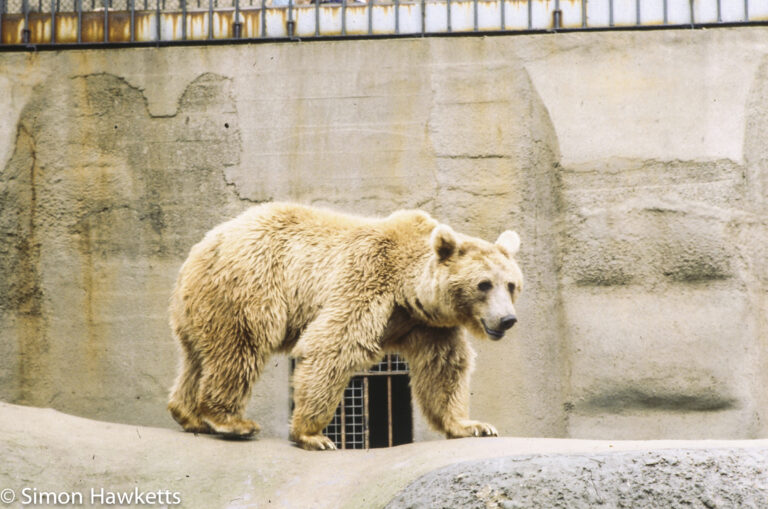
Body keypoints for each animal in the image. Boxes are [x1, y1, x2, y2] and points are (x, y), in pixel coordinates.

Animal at [167, 202, 520, 448]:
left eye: (512, 285)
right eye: (484, 284)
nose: (507, 319)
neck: (408, 291)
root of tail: (201, 247)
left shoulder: (427, 325)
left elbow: (443, 367)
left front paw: (473, 426)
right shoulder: (366, 279)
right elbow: (333, 345)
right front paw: (312, 434)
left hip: (199, 305)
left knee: (197, 357)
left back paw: (189, 414)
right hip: (249, 285)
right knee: (240, 347)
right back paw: (232, 421)